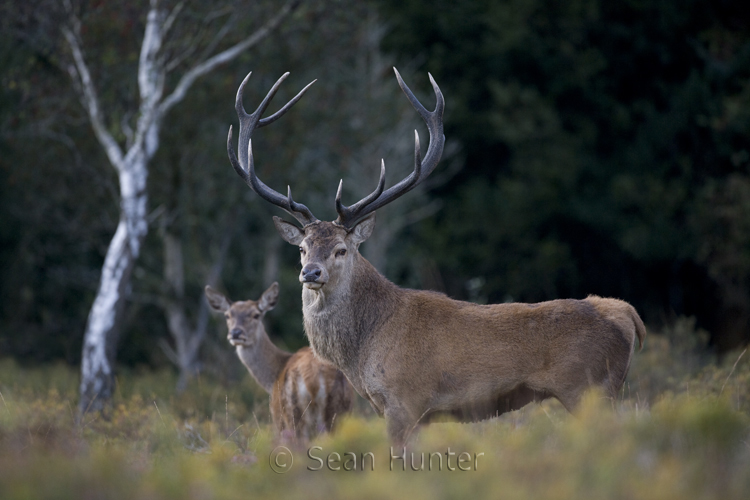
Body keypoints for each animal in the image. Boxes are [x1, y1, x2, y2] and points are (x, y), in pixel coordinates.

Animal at [206, 284, 356, 444]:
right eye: (228, 315)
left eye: (256, 315)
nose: (235, 333)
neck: (273, 376)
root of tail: (314, 381)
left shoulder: (277, 416)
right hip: (340, 410)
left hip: (292, 413)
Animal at [222, 68, 648, 444]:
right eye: (302, 248)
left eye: (342, 249)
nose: (310, 273)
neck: (365, 348)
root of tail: (627, 315)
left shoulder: (404, 400)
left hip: (590, 388)